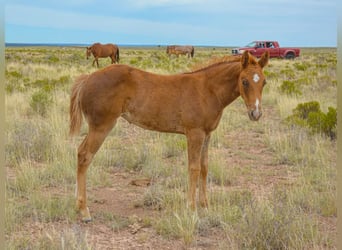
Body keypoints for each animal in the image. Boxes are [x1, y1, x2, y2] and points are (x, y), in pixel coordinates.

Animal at [70, 50, 270, 221]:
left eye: (264, 82)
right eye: (244, 81)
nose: (256, 114)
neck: (207, 90)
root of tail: (87, 78)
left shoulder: (207, 134)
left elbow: (204, 167)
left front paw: (205, 205)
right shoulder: (194, 133)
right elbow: (194, 168)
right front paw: (191, 208)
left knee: (80, 153)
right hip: (101, 126)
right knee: (84, 156)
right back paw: (84, 210)